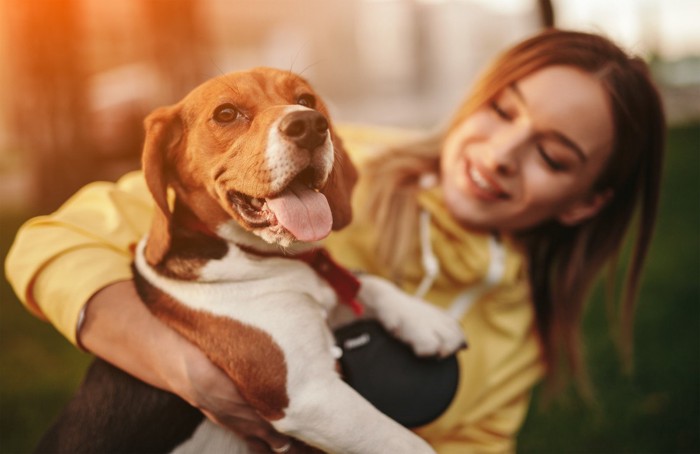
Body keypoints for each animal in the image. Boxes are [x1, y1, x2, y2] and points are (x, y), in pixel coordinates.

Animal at [37, 68, 464, 454]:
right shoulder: (310, 394)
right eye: (226, 113)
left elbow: (362, 282)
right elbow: (408, 443)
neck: (263, 256)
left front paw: (425, 321)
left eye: (306, 99)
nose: (310, 124)